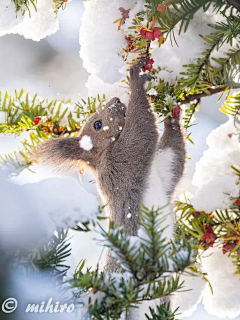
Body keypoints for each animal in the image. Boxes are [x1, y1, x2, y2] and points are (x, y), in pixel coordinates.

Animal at [33, 58, 187, 312]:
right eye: (97, 124)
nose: (115, 100)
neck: (103, 155)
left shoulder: (160, 171)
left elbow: (172, 158)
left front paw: (173, 118)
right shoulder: (124, 160)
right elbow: (141, 130)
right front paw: (137, 79)